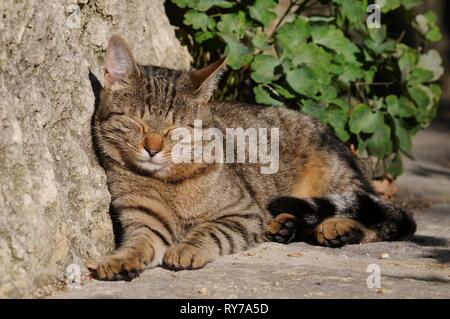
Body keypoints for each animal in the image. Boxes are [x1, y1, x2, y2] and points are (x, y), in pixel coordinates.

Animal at [89, 33, 416, 282]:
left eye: (176, 129)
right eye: (136, 122)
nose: (153, 148)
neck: (169, 183)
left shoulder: (243, 213)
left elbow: (211, 230)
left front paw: (187, 247)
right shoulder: (143, 220)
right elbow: (138, 243)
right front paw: (120, 260)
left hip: (339, 180)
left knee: (389, 220)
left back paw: (338, 227)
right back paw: (285, 225)